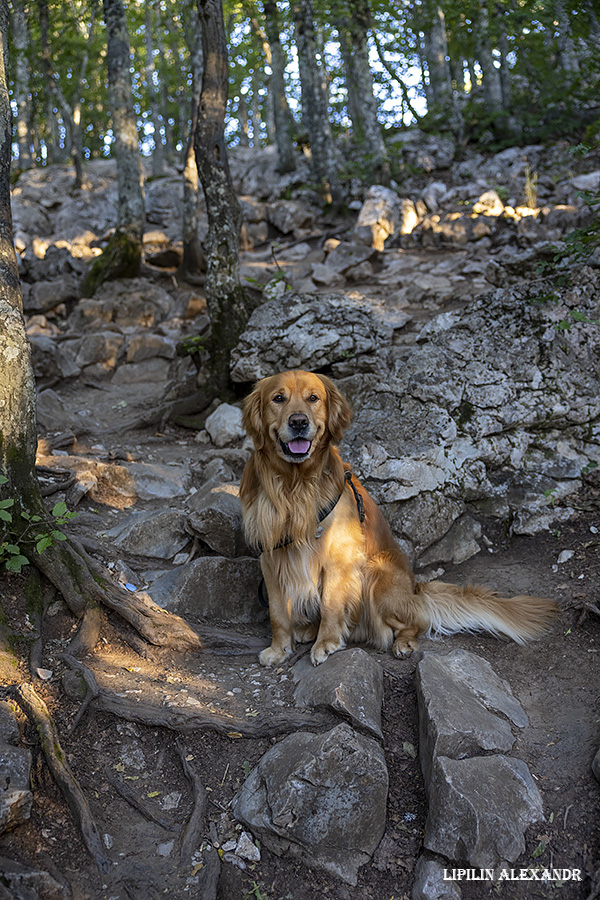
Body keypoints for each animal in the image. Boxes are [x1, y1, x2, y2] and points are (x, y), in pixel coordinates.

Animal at [239, 368, 556, 668]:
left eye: (313, 398)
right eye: (278, 398)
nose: (298, 422)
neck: (295, 484)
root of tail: (415, 588)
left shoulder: (338, 559)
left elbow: (331, 605)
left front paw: (326, 644)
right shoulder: (271, 559)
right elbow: (277, 614)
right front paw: (279, 650)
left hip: (377, 576)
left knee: (417, 621)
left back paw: (402, 643)